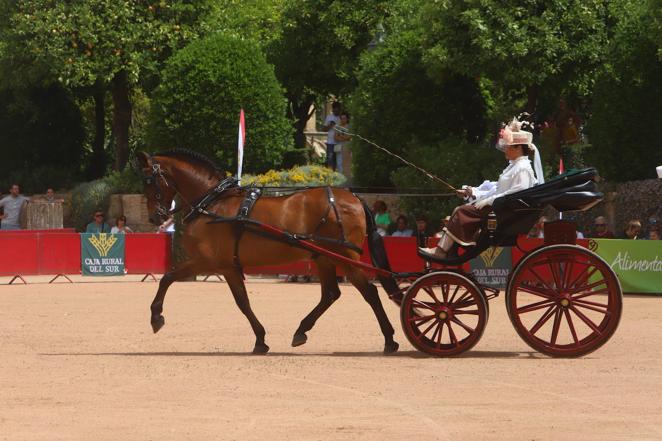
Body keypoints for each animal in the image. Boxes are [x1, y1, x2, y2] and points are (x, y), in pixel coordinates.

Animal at [136, 150, 400, 354]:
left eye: (149, 181)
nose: (155, 217)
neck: (213, 202)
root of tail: (354, 197)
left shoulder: (210, 262)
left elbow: (168, 278)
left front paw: (156, 316)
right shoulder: (227, 266)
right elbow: (242, 301)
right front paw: (261, 340)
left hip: (345, 258)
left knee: (370, 293)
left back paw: (389, 339)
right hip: (324, 258)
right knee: (330, 294)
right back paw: (301, 330)